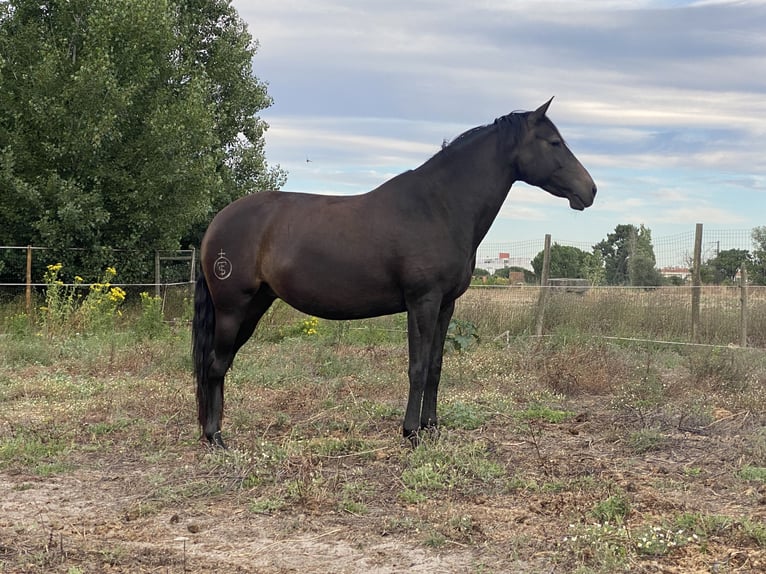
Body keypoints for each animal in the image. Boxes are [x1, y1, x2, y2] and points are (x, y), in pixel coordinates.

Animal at [194, 99, 600, 450]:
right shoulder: (422, 302)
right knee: (214, 365)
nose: (591, 190)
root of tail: (217, 222)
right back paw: (215, 438)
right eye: (554, 142)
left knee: (221, 365)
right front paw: (411, 433)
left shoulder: (446, 305)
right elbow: (417, 367)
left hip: (255, 306)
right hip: (233, 308)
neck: (438, 207)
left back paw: (214, 430)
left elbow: (435, 366)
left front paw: (432, 427)